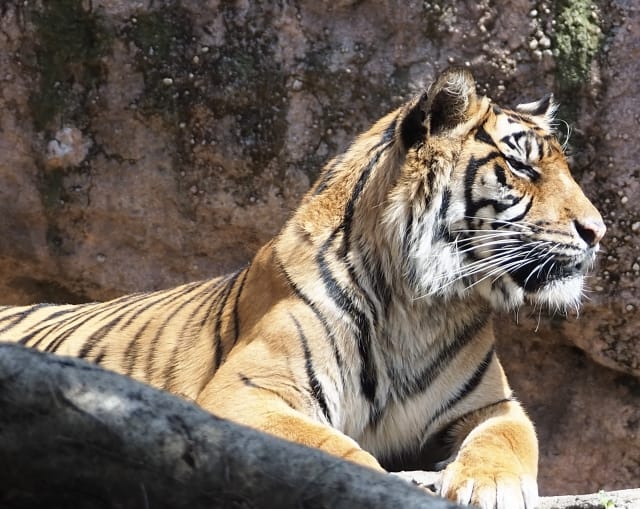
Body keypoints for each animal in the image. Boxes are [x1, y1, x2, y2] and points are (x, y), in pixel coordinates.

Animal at [0, 68, 604, 508]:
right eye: (521, 166)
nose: (598, 232)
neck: (422, 305)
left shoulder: (493, 406)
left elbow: (507, 439)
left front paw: (493, 487)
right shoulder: (248, 392)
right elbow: (338, 453)